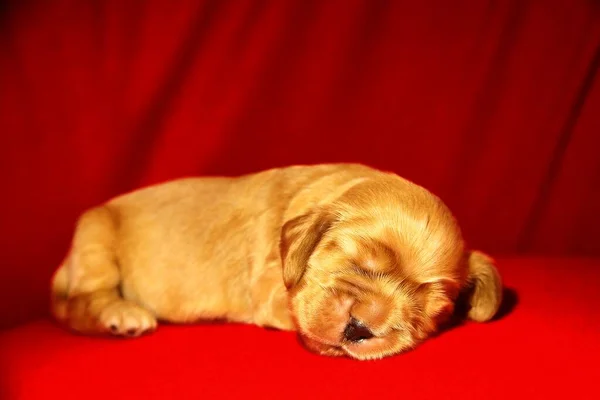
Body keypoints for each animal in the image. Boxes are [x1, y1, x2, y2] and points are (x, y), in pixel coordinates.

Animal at [50, 162, 502, 360]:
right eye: (357, 263)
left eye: (429, 312)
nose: (359, 329)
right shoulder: (269, 288)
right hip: (95, 237)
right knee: (79, 305)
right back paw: (122, 315)